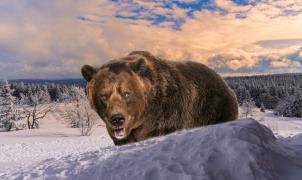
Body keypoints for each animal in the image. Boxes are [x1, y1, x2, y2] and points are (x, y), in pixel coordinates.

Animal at [81, 50, 238, 145]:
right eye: (103, 95)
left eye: (126, 93)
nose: (117, 119)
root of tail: (223, 80)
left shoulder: (167, 114)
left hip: (214, 108)